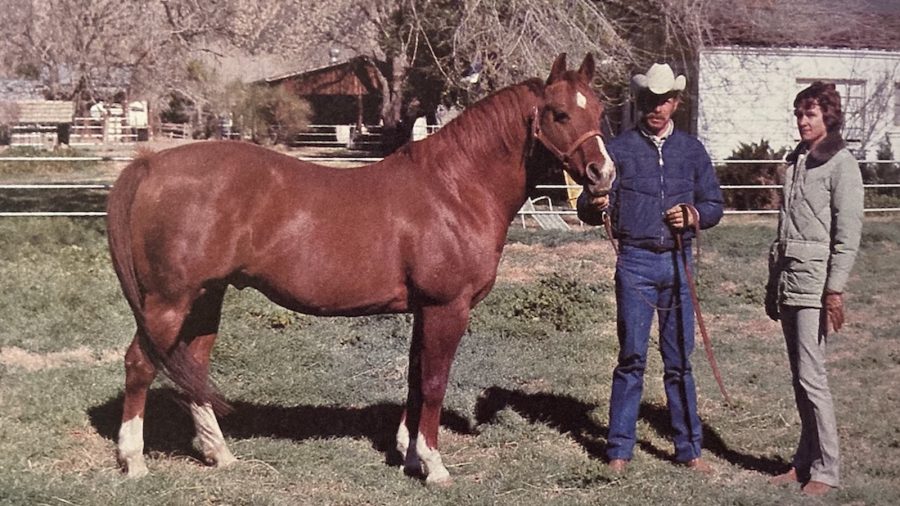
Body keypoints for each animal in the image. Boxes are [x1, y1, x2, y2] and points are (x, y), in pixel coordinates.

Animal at [106, 53, 615, 485]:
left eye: (600, 111)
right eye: (559, 113)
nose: (603, 175)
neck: (454, 189)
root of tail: (150, 165)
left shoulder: (424, 310)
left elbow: (415, 377)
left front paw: (409, 453)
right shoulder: (447, 307)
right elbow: (434, 383)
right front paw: (434, 466)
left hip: (205, 297)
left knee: (191, 366)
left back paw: (219, 453)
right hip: (169, 301)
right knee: (140, 364)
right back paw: (134, 461)